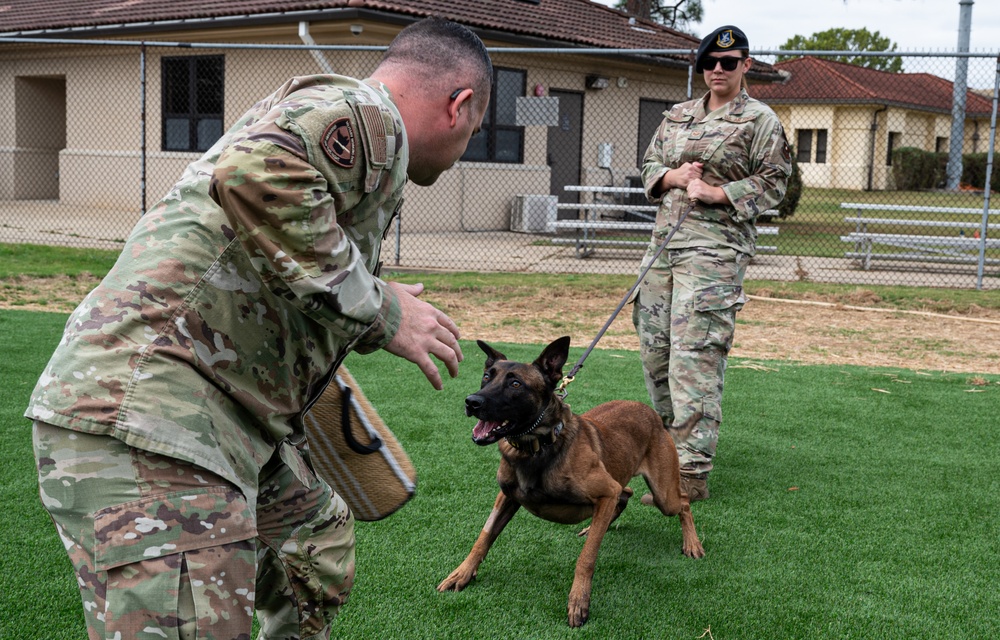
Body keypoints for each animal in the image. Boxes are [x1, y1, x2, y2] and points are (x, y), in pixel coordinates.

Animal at [436, 338, 704, 628]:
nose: (471, 401)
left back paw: (692, 543)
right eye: (487, 376)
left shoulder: (605, 492)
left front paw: (579, 600)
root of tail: (656, 417)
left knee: (682, 502)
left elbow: (586, 558)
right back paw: (595, 526)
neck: (537, 448)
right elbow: (483, 537)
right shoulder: (506, 497)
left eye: (516, 384)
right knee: (626, 493)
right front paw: (462, 573)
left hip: (664, 495)